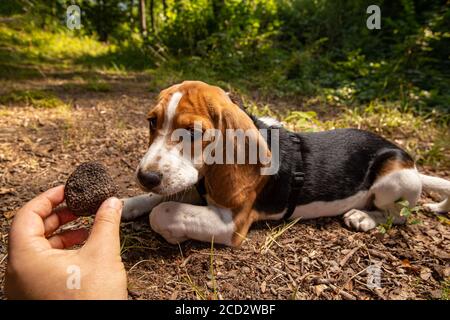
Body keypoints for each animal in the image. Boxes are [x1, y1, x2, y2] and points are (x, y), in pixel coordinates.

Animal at [122, 81, 450, 246]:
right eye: (151, 122)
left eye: (192, 132)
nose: (145, 176)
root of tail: (409, 162)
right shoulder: (196, 183)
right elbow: (156, 198)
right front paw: (127, 203)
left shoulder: (231, 224)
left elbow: (164, 210)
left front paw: (169, 231)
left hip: (394, 180)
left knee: (398, 216)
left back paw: (364, 217)